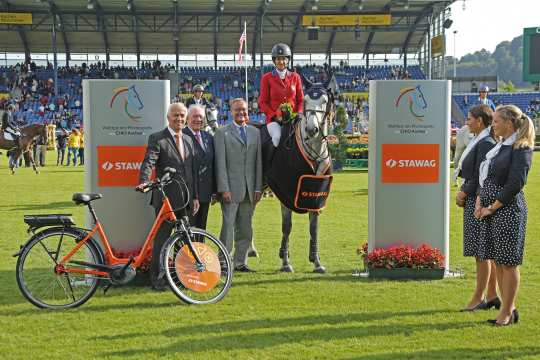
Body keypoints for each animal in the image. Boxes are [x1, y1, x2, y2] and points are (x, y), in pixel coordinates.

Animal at [260, 75, 334, 272]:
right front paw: (286, 262)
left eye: (324, 101)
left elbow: (314, 227)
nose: (311, 130)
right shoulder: (286, 191)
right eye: (306, 100)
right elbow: (287, 226)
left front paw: (317, 262)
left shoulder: (315, 192)